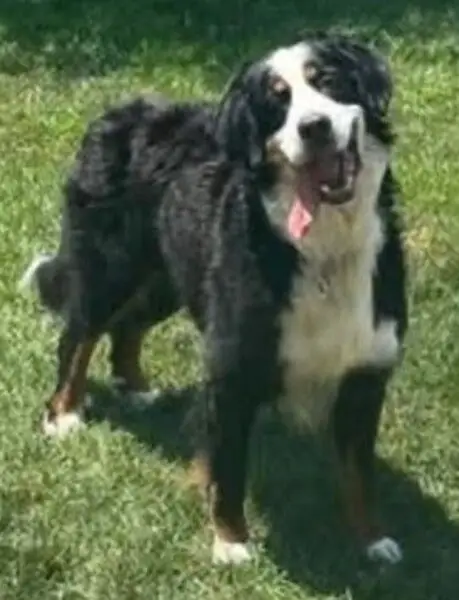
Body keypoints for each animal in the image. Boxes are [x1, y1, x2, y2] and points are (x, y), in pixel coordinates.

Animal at [21, 33, 407, 567]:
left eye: (327, 80)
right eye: (276, 101)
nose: (313, 127)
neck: (324, 250)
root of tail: (117, 110)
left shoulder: (365, 372)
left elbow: (358, 473)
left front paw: (371, 538)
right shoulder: (233, 366)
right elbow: (228, 468)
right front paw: (231, 542)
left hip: (169, 277)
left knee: (128, 326)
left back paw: (134, 386)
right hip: (109, 270)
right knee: (78, 337)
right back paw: (63, 413)